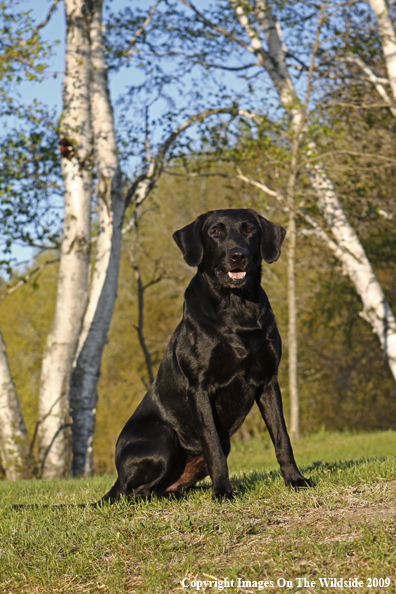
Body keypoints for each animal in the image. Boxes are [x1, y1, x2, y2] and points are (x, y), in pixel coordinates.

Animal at [102, 206, 312, 502]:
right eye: (216, 231)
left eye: (250, 230)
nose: (238, 255)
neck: (236, 309)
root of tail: (116, 481)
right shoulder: (199, 388)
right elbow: (212, 445)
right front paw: (222, 491)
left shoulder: (269, 382)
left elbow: (282, 438)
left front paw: (295, 480)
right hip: (161, 436)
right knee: (136, 493)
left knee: (163, 488)